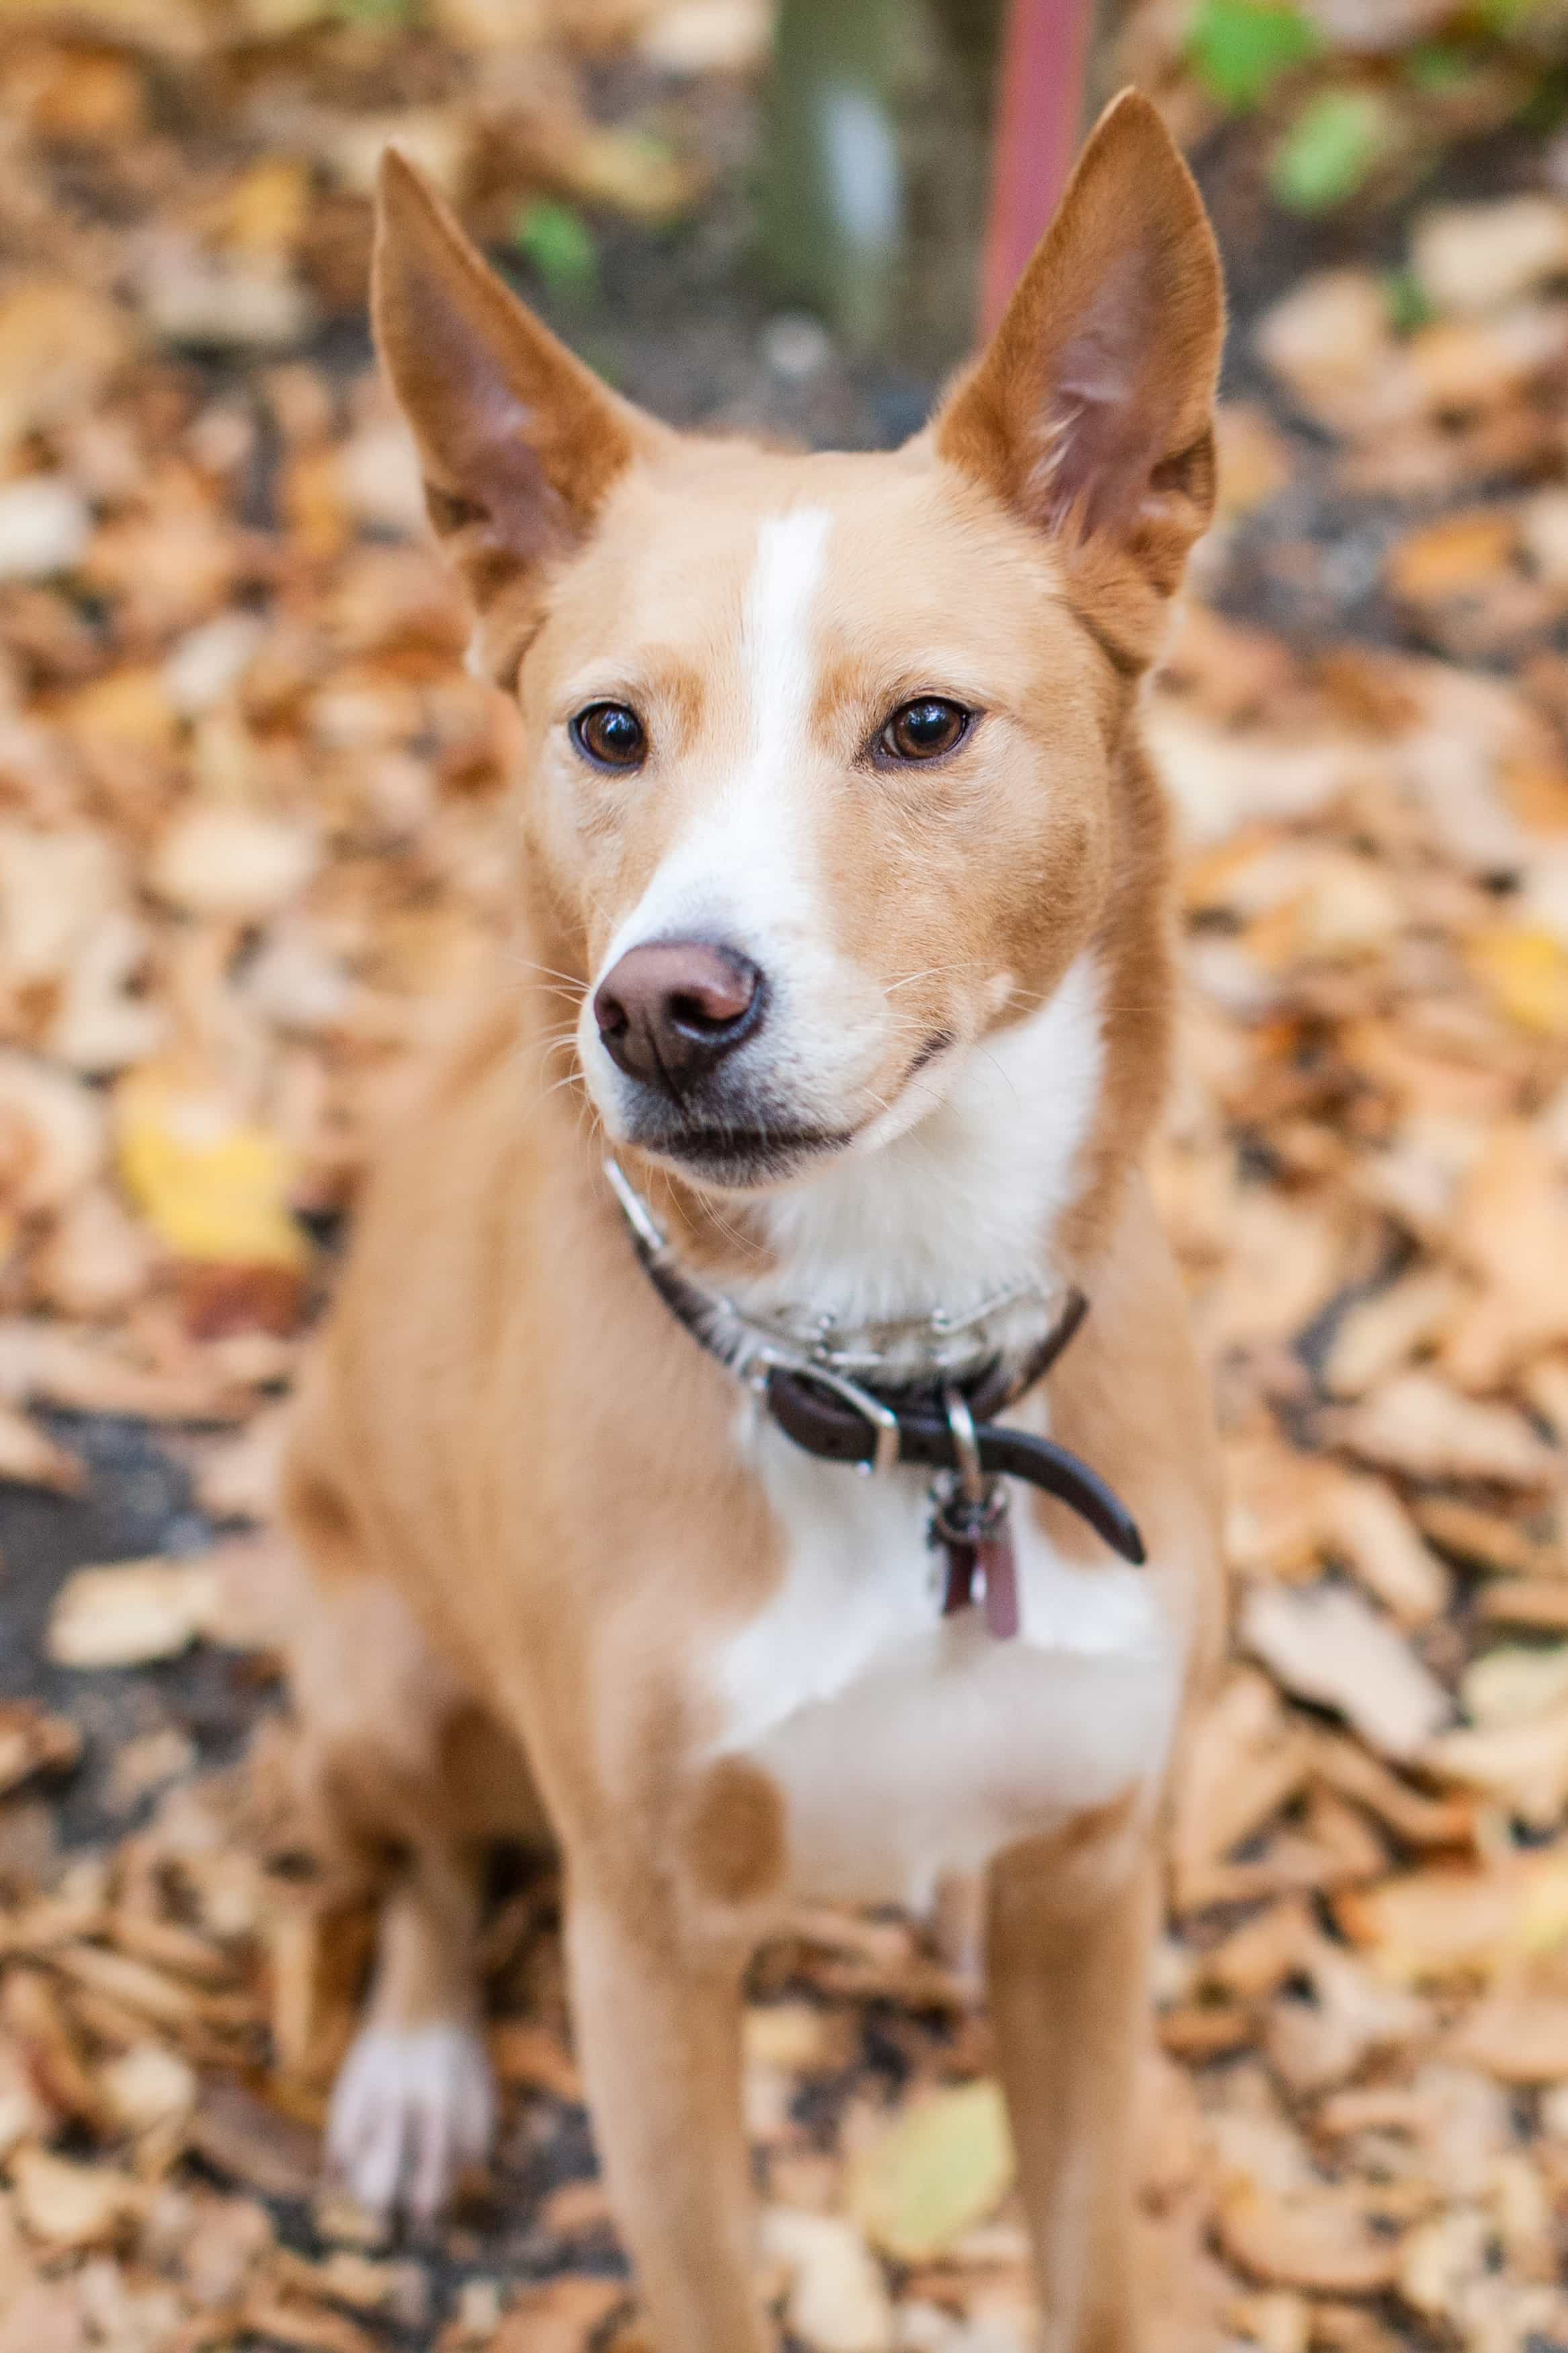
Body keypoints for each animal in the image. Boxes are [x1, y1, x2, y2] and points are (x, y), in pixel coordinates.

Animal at [278, 89, 1224, 2353]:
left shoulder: (1095, 1889)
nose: (662, 1003)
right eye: (607, 729)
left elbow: (1093, 2269)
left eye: (924, 725)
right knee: (419, 1864)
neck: (900, 1386)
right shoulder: (647, 1955)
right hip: (377, 1681)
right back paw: (416, 2064)